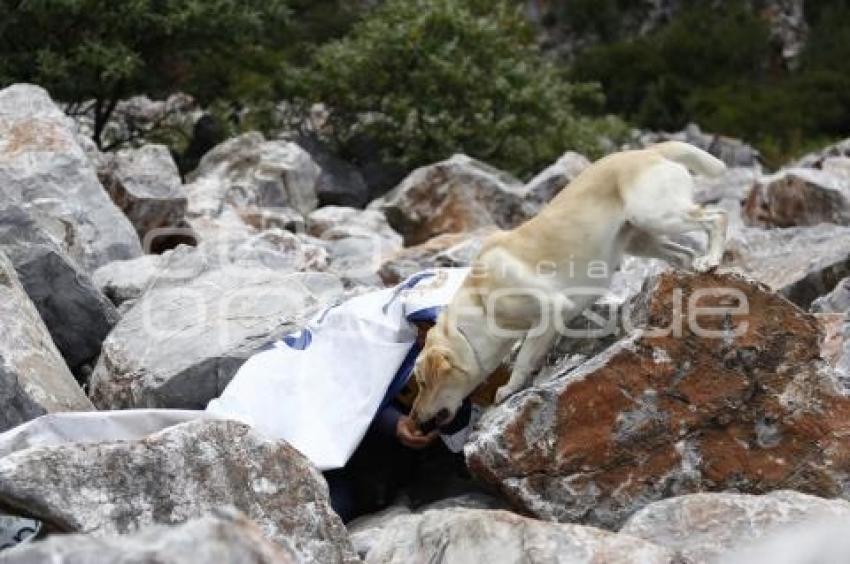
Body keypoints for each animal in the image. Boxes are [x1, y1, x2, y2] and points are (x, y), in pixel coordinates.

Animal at [408, 141, 724, 428]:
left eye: (422, 383)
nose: (414, 420)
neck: (480, 303)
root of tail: (649, 151)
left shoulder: (551, 309)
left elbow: (522, 358)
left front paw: (509, 389)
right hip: (642, 238)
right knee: (684, 253)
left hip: (656, 215)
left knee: (717, 218)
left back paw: (712, 259)